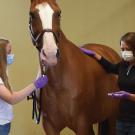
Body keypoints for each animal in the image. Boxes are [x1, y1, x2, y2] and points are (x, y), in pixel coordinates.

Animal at [29, 0, 121, 135]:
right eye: (32, 14)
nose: (50, 53)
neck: (59, 83)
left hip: (112, 116)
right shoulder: (50, 126)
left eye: (58, 13)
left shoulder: (81, 124)